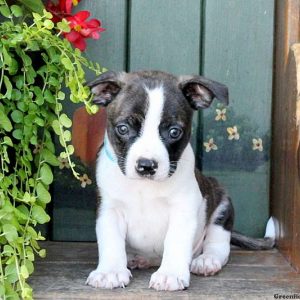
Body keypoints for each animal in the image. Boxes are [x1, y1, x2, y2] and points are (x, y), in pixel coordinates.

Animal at [85, 69, 274, 290]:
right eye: (123, 129)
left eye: (174, 132)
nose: (147, 165)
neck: (144, 187)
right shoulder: (109, 211)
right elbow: (111, 242)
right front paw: (110, 271)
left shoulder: (183, 210)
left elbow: (175, 242)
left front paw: (170, 274)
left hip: (221, 203)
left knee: (218, 244)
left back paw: (207, 260)